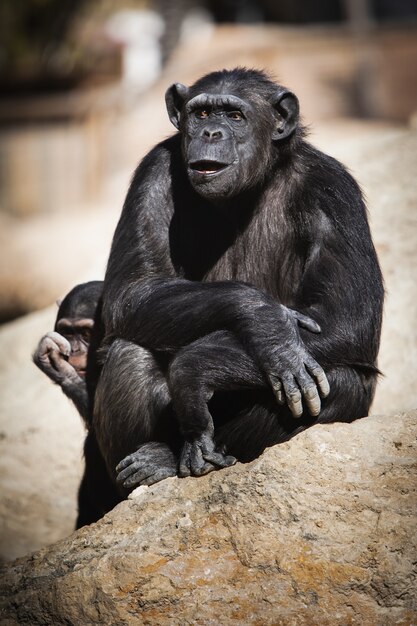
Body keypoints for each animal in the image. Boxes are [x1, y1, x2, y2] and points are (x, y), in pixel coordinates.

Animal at [93, 66, 384, 490]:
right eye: (200, 113)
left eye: (234, 116)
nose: (211, 132)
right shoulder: (154, 170)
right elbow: (134, 289)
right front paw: (267, 325)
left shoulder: (334, 190)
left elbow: (347, 318)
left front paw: (197, 367)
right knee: (130, 351)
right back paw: (154, 462)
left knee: (344, 381)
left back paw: (176, 457)